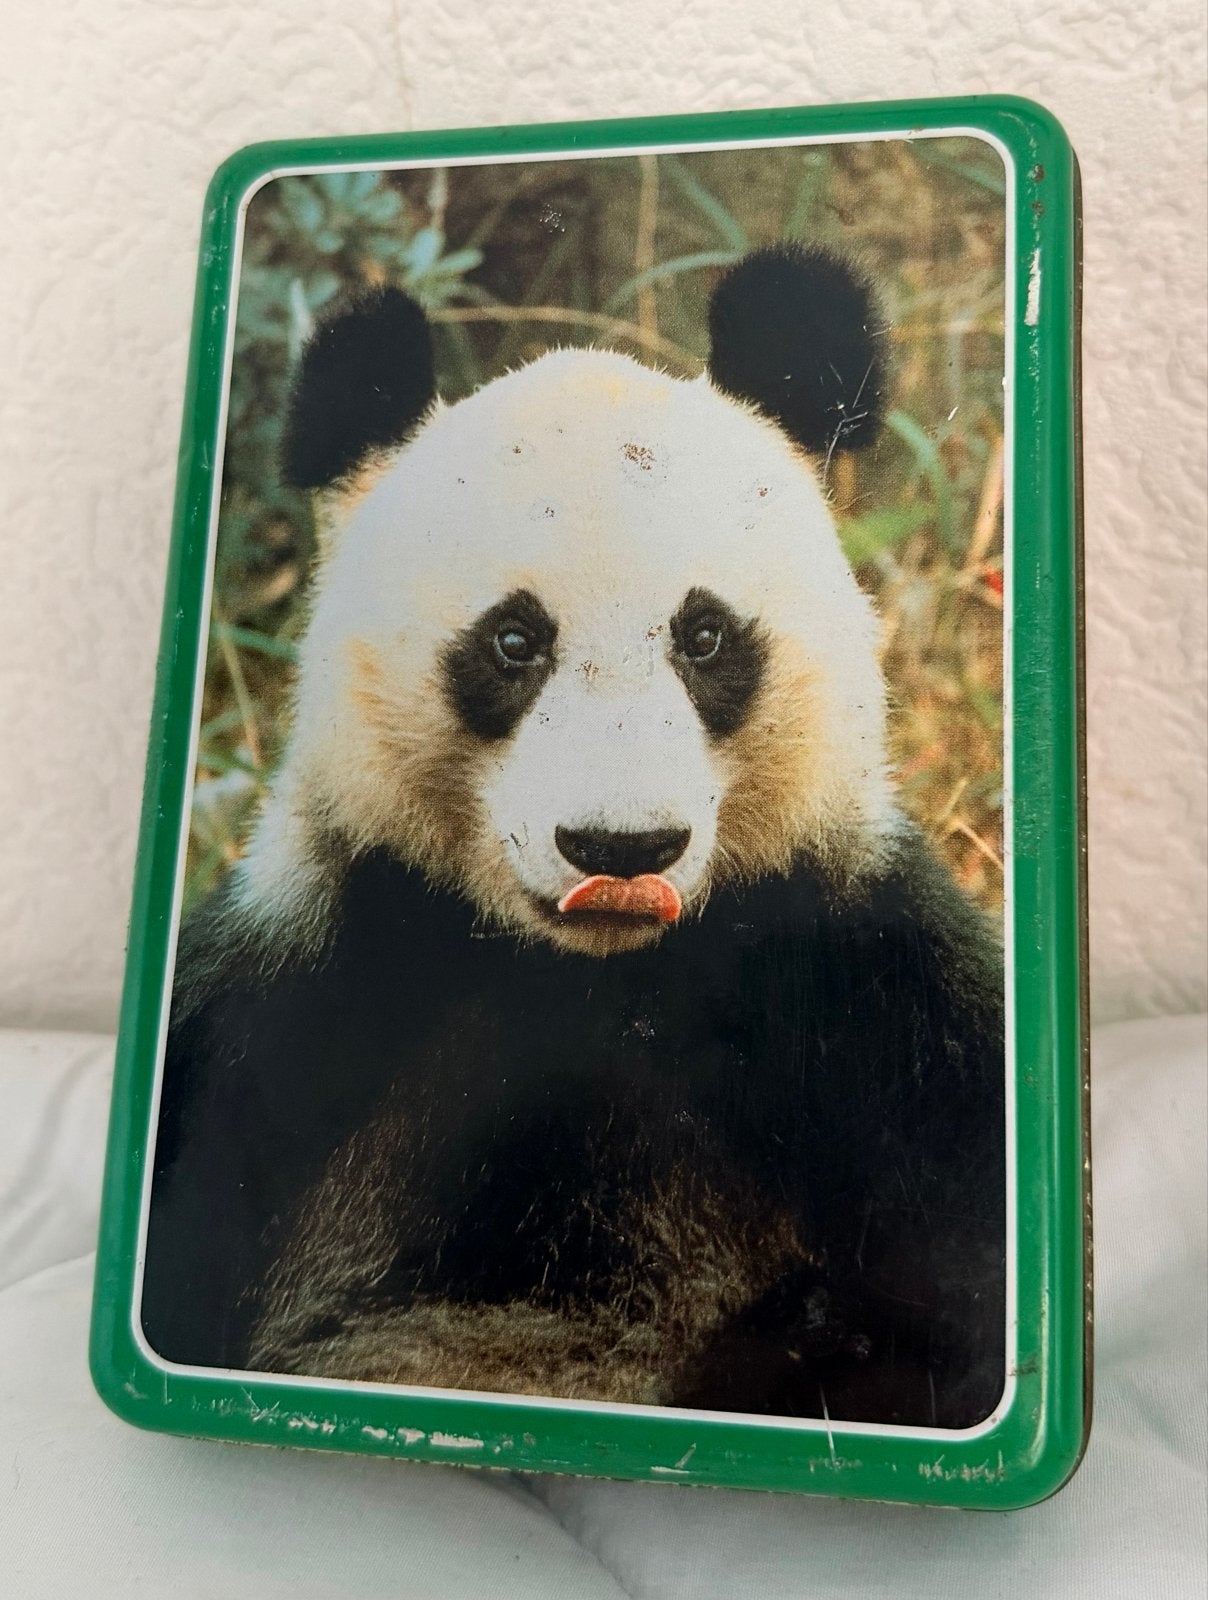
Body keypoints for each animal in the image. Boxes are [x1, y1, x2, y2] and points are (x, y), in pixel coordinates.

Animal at [142, 244, 1006, 1430]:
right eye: (514, 641)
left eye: (703, 635)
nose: (621, 848)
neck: (591, 976)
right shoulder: (304, 994)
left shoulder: (867, 996)